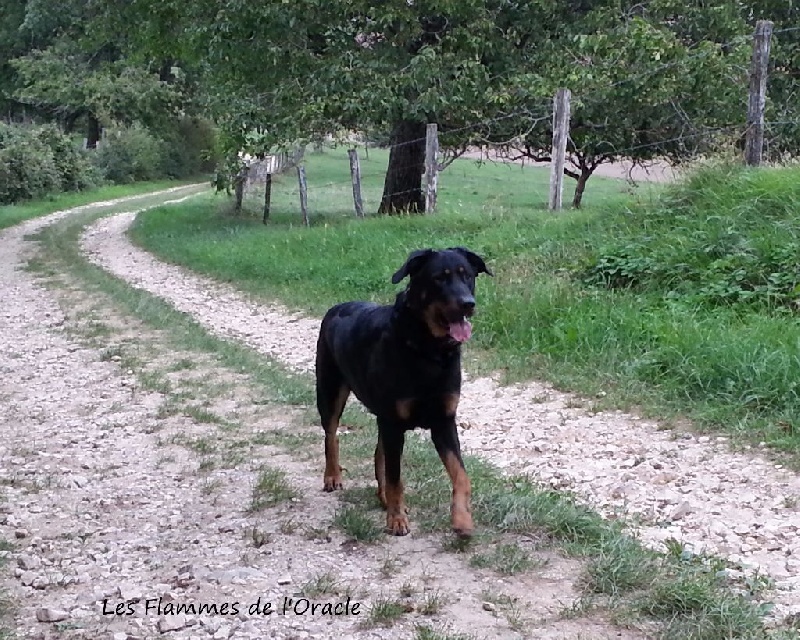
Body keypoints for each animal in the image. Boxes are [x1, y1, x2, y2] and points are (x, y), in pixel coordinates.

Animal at [314, 248, 490, 536]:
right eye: (439, 278)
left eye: (468, 276)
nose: (468, 303)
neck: (428, 349)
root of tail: (336, 307)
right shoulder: (394, 423)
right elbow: (396, 477)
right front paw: (396, 520)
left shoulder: (443, 420)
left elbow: (461, 475)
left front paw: (462, 519)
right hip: (329, 389)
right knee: (331, 434)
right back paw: (333, 476)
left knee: (379, 452)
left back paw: (382, 496)